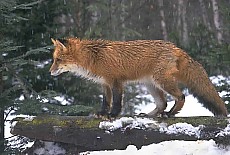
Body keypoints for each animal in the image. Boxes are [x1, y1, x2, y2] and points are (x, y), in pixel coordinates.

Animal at [49, 37, 227, 117]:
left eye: (58, 60)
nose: (50, 72)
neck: (94, 57)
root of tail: (175, 47)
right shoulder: (105, 84)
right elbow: (105, 101)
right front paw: (102, 113)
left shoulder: (116, 82)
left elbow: (116, 102)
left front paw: (113, 115)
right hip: (150, 85)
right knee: (162, 103)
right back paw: (149, 115)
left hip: (161, 81)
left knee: (181, 96)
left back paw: (170, 114)